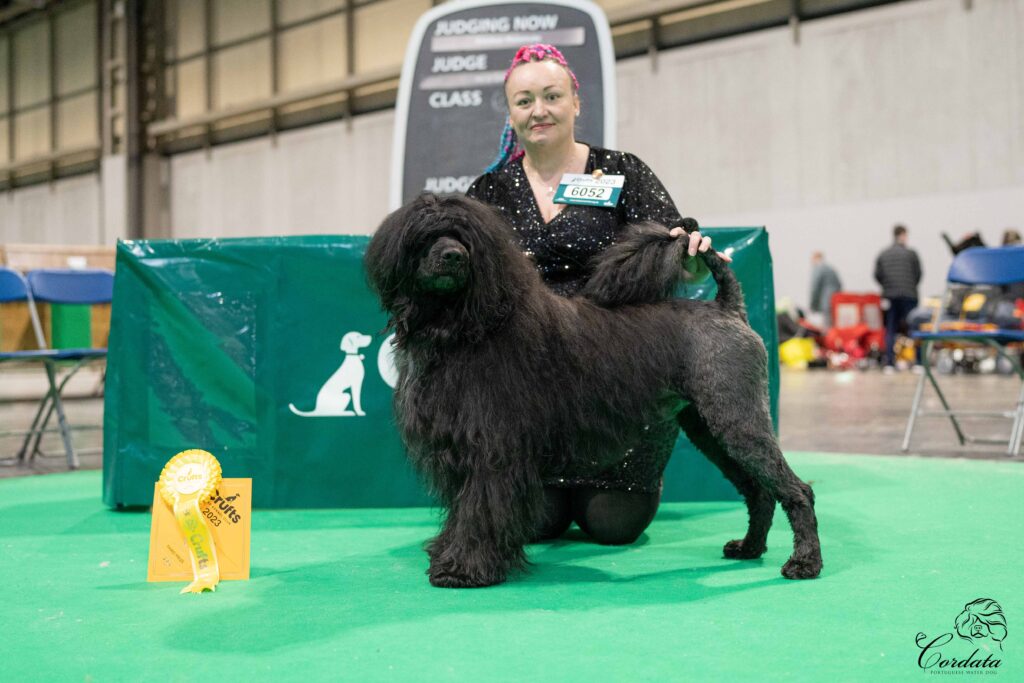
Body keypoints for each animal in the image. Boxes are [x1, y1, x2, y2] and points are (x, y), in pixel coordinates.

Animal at [365, 193, 822, 588]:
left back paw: (804, 563)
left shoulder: (491, 450)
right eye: (425, 235)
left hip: (737, 418)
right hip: (710, 427)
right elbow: (463, 510)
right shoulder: (460, 447)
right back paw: (749, 548)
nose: (453, 256)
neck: (466, 325)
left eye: (464, 236)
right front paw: (449, 553)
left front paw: (465, 569)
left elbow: (479, 511)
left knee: (797, 491)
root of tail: (728, 307)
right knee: (759, 491)